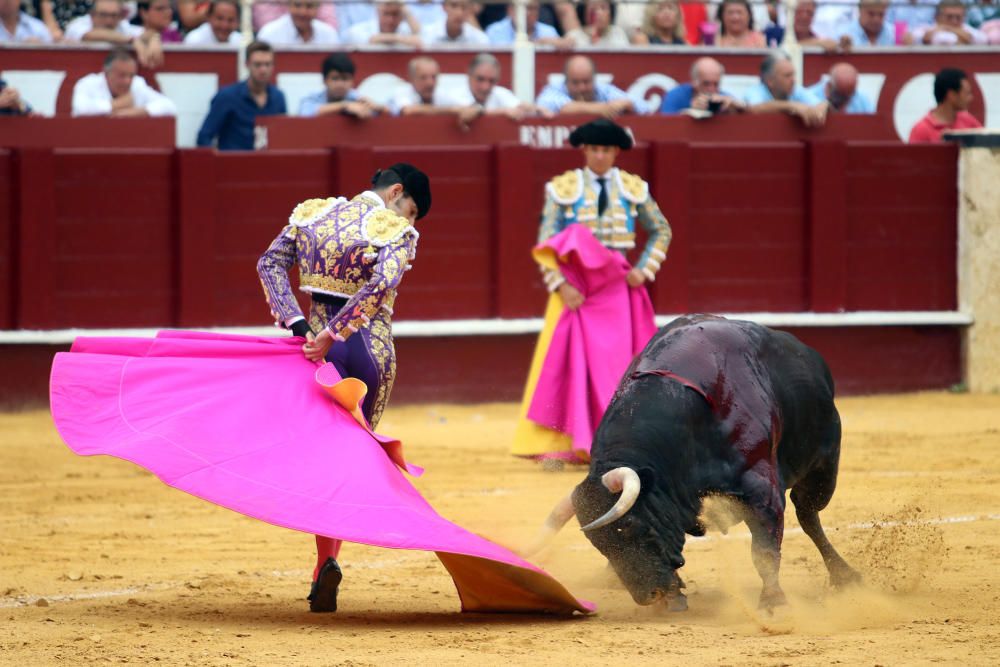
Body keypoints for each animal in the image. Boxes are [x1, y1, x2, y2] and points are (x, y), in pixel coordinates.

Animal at [564, 318, 860, 612]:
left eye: (630, 526)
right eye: (598, 543)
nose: (649, 595)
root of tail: (808, 354)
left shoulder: (762, 492)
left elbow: (764, 551)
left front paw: (773, 602)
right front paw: (675, 596)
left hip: (823, 469)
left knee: (808, 515)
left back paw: (845, 576)